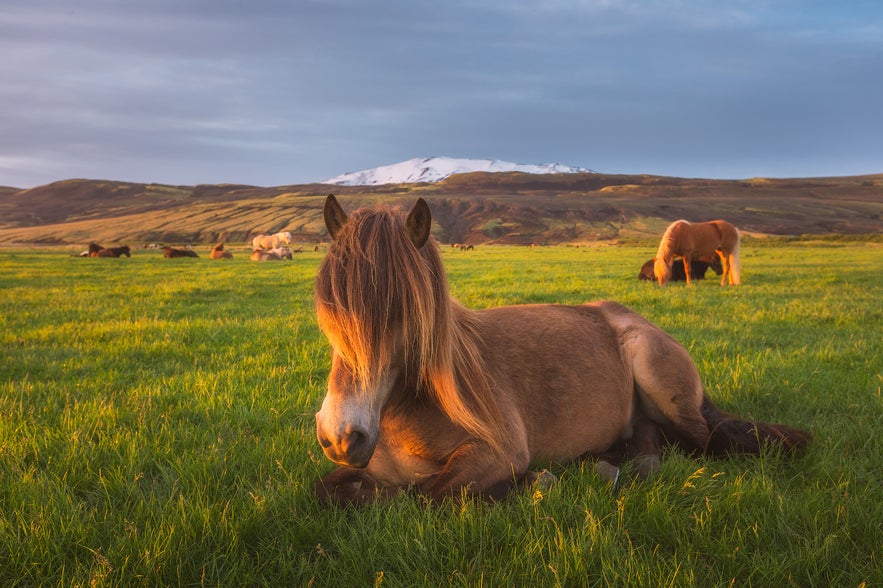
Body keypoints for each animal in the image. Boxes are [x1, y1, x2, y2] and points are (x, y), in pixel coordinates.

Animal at [314, 194, 812, 506]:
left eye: (405, 312)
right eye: (329, 309)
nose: (341, 435)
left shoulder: (496, 453)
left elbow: (428, 494)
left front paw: (534, 483)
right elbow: (333, 490)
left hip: (659, 379)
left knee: (704, 441)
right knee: (647, 441)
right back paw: (607, 463)